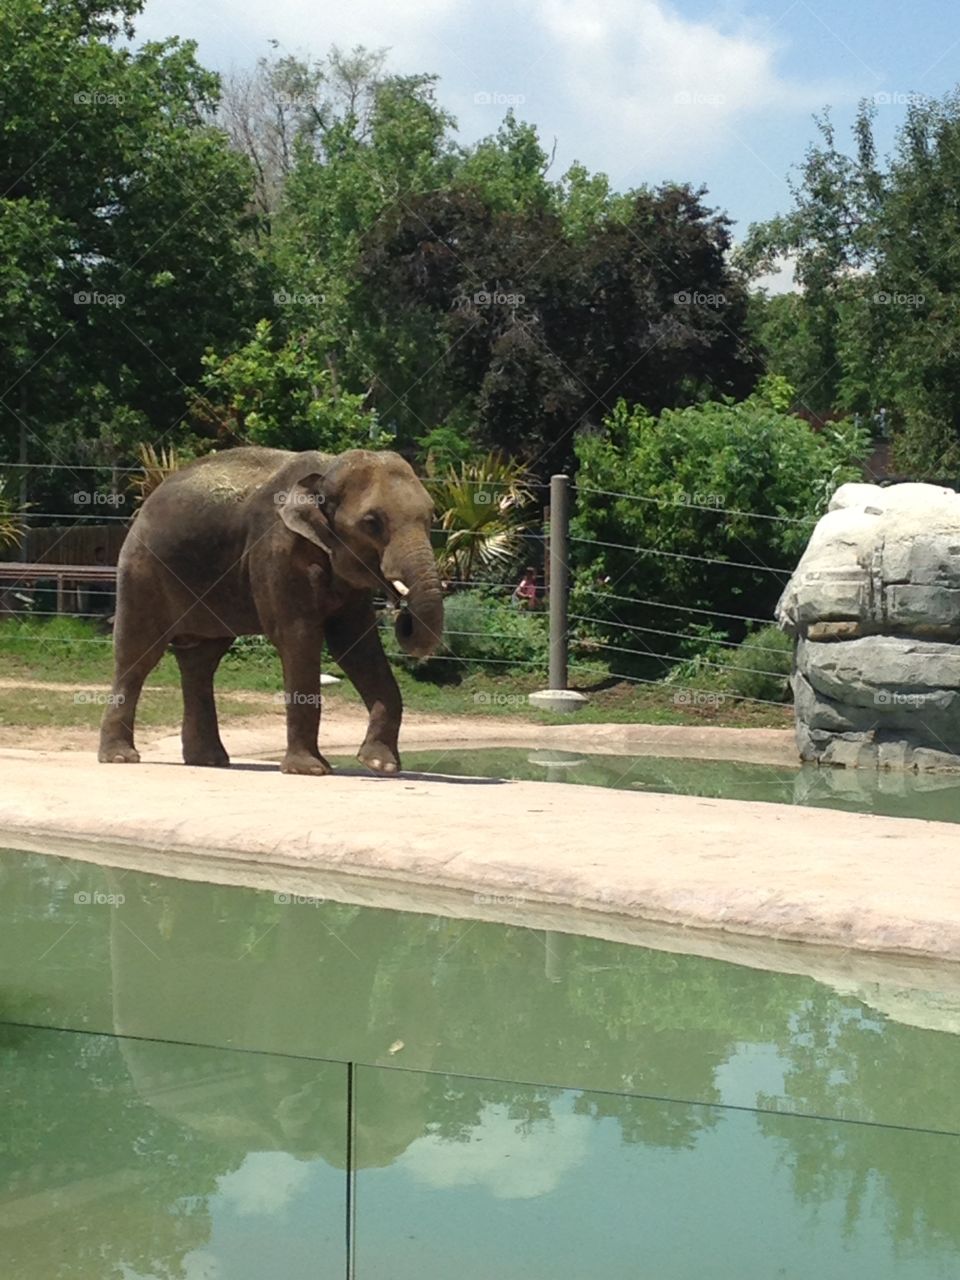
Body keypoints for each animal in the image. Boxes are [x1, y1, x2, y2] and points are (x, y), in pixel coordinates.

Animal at [98, 446, 443, 775]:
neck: (326, 470)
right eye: (371, 523)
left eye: (430, 517)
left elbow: (358, 646)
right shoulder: (277, 549)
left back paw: (209, 761)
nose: (400, 611)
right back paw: (120, 757)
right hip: (142, 570)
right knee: (137, 654)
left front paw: (381, 766)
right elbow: (298, 638)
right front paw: (310, 770)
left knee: (201, 661)